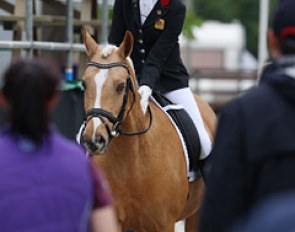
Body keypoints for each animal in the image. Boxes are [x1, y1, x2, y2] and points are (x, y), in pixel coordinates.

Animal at [80, 29, 216, 232]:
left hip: (195, 214)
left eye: (121, 86)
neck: (131, 160)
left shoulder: (164, 223)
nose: (94, 139)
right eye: (84, 84)